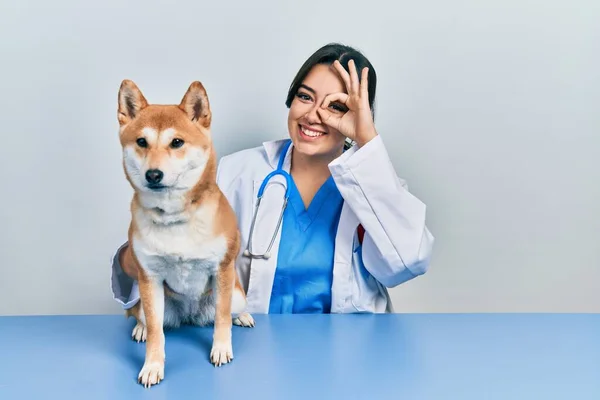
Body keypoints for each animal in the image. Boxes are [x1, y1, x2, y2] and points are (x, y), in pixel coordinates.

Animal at [115, 79, 253, 388]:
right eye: (141, 142)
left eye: (176, 142)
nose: (153, 174)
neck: (174, 218)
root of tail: (191, 315)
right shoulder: (149, 277)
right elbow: (157, 332)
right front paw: (153, 366)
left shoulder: (223, 269)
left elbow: (222, 318)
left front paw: (221, 348)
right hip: (147, 301)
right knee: (140, 315)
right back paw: (140, 329)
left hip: (236, 294)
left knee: (230, 309)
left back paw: (243, 316)